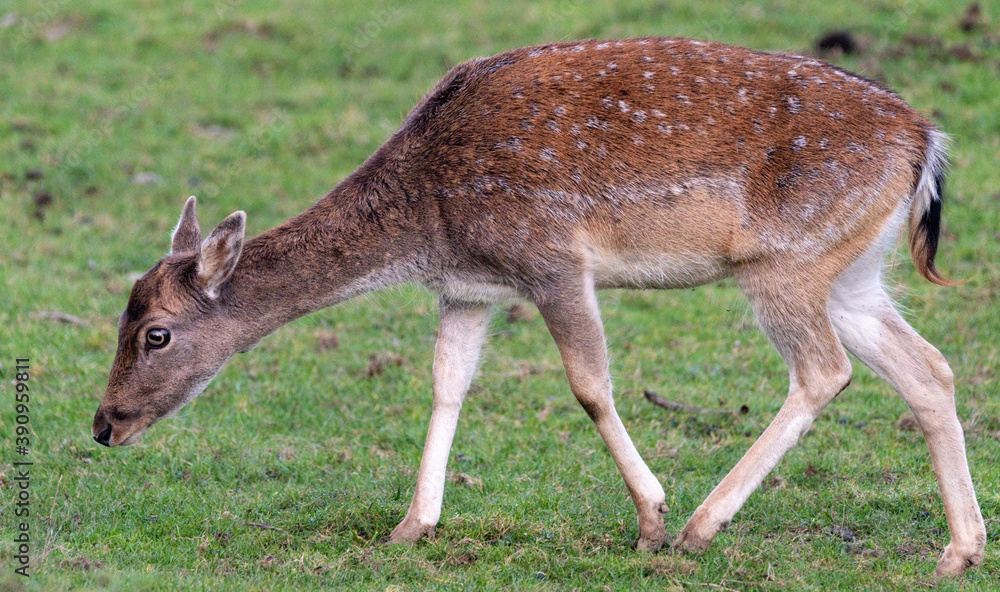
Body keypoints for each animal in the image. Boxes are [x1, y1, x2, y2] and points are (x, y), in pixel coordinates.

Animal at [92, 37, 985, 575]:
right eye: (123, 321)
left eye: (157, 334)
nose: (104, 423)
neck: (427, 220)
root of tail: (927, 143)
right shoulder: (467, 288)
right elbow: (446, 384)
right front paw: (411, 527)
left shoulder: (552, 257)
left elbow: (589, 385)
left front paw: (651, 517)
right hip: (854, 271)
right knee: (930, 367)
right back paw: (961, 550)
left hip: (786, 262)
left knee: (824, 371)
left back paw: (700, 526)